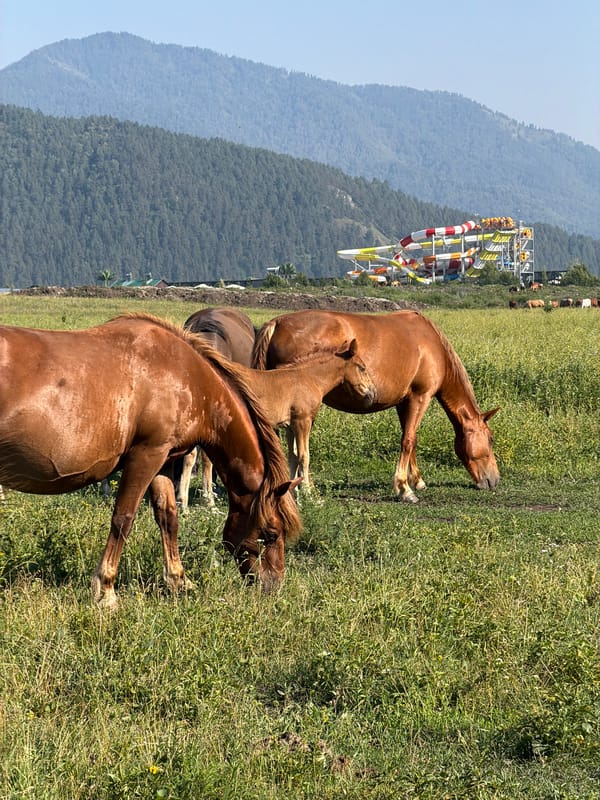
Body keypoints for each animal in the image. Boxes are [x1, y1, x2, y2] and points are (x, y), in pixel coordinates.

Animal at [178, 339, 376, 510]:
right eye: (362, 367)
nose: (372, 393)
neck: (308, 379)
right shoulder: (302, 421)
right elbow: (304, 456)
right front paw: (308, 496)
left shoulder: (290, 426)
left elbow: (293, 456)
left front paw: (294, 494)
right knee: (204, 460)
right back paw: (207, 503)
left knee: (190, 457)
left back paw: (185, 504)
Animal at [252, 310, 500, 502]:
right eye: (490, 439)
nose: (494, 480)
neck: (432, 345)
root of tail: (277, 323)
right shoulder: (420, 397)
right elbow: (408, 440)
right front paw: (404, 488)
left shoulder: (404, 402)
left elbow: (411, 438)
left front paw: (417, 480)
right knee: (298, 450)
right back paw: (305, 490)